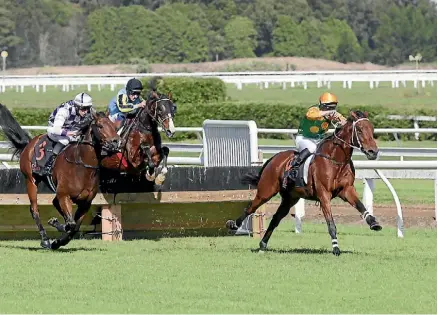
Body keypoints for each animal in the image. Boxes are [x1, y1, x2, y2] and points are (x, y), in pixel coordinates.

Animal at [0, 105, 119, 251]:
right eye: (100, 126)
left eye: (114, 126)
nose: (116, 142)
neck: (82, 165)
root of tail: (30, 143)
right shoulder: (64, 195)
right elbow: (71, 223)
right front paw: (55, 225)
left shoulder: (86, 202)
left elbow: (74, 226)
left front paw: (58, 241)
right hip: (31, 180)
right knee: (34, 210)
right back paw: (45, 239)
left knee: (55, 204)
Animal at [228, 110, 382, 256]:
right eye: (360, 130)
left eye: (372, 129)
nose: (373, 152)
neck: (335, 160)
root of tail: (274, 158)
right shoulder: (323, 194)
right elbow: (331, 223)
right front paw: (336, 248)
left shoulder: (346, 190)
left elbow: (361, 206)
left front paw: (374, 223)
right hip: (266, 191)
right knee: (250, 208)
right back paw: (233, 225)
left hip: (290, 198)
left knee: (275, 219)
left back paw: (262, 245)